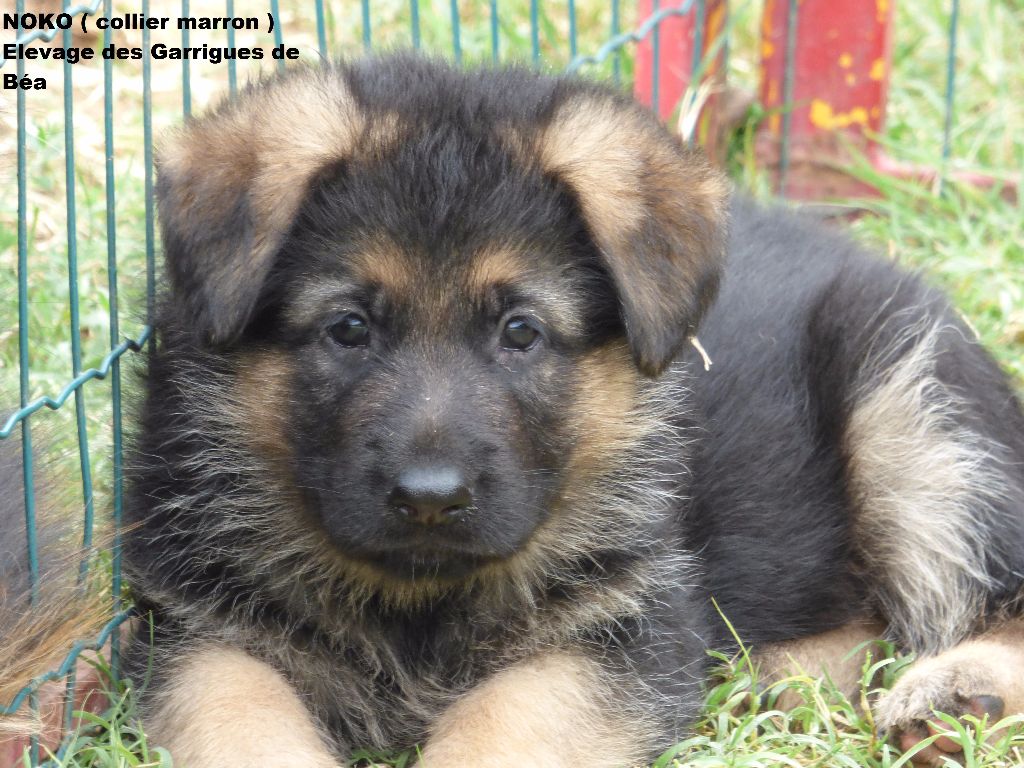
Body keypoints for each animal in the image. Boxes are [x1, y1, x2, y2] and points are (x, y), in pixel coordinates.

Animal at [117, 55, 1024, 768]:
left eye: (521, 332)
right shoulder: (193, 626)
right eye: (348, 328)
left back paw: (952, 692)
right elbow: (238, 712)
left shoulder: (622, 627)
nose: (430, 499)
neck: (418, 603)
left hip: (914, 413)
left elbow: (507, 718)